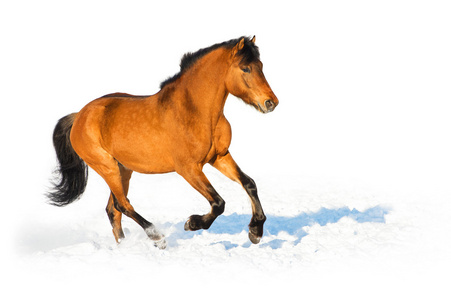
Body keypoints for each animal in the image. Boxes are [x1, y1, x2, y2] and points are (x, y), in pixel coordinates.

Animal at [46, 36, 278, 250]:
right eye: (245, 68)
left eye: (261, 66)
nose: (271, 103)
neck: (195, 111)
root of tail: (79, 116)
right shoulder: (188, 168)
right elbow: (218, 203)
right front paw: (192, 223)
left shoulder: (219, 157)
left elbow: (249, 183)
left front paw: (256, 231)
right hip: (106, 167)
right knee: (122, 205)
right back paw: (157, 237)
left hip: (123, 169)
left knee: (113, 210)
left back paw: (125, 245)